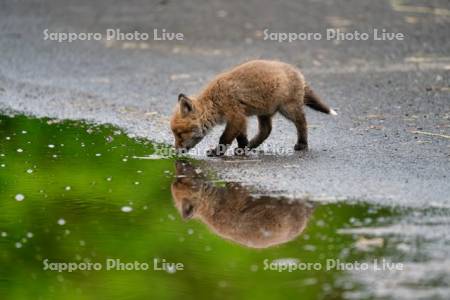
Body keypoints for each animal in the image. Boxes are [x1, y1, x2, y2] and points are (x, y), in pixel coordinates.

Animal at [171, 59, 336, 156]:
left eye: (179, 134)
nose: (176, 152)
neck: (214, 102)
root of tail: (298, 73)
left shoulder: (235, 116)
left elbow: (224, 138)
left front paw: (217, 152)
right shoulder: (241, 118)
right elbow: (241, 137)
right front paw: (243, 148)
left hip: (288, 109)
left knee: (302, 122)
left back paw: (302, 144)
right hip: (264, 112)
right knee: (266, 130)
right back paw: (252, 145)